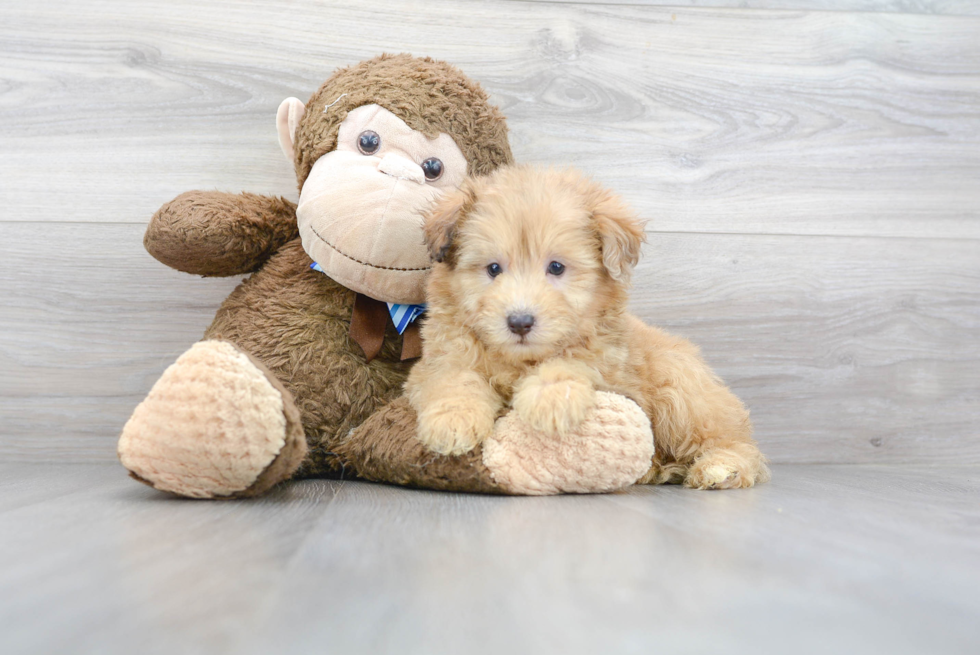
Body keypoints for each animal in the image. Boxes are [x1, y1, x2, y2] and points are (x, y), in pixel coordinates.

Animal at [402, 167, 768, 490]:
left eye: (556, 267)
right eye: (493, 269)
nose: (519, 322)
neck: (522, 361)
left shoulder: (606, 359)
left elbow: (572, 362)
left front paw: (549, 398)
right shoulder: (441, 357)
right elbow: (454, 379)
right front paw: (452, 420)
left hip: (681, 392)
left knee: (733, 440)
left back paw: (722, 468)